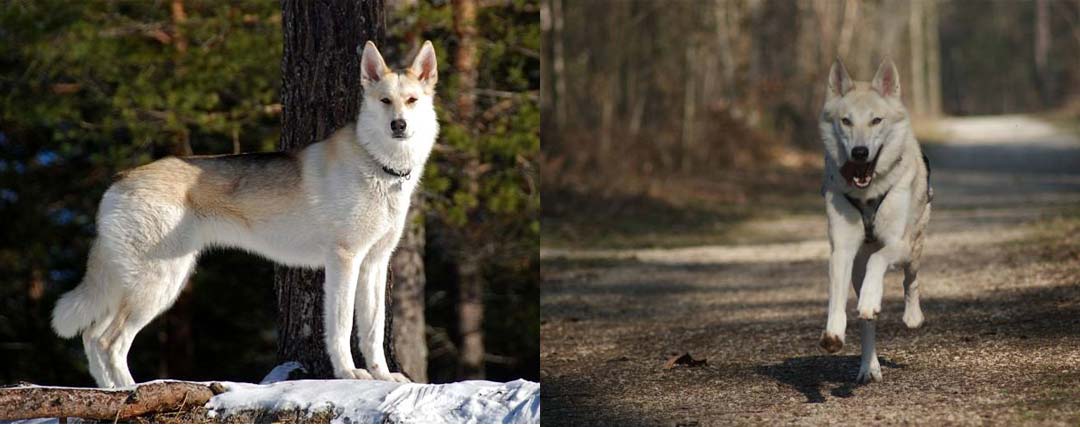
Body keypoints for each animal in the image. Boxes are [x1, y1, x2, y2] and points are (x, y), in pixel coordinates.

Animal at [50, 41, 438, 389]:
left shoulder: (374, 264)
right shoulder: (345, 261)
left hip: (148, 283)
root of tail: (119, 180)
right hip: (156, 285)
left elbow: (372, 332)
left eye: (412, 101)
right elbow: (341, 330)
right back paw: (129, 392)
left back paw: (109, 391)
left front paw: (383, 377)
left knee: (91, 337)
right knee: (109, 342)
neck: (380, 166)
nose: (399, 125)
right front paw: (348, 374)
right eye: (385, 101)